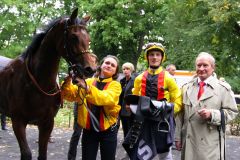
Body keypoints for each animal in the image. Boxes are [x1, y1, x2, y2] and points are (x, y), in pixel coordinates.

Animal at [0, 8, 94, 160]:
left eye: (88, 39)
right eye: (74, 37)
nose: (90, 69)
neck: (36, 82)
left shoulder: (47, 122)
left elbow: (42, 153)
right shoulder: (18, 121)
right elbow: (26, 154)